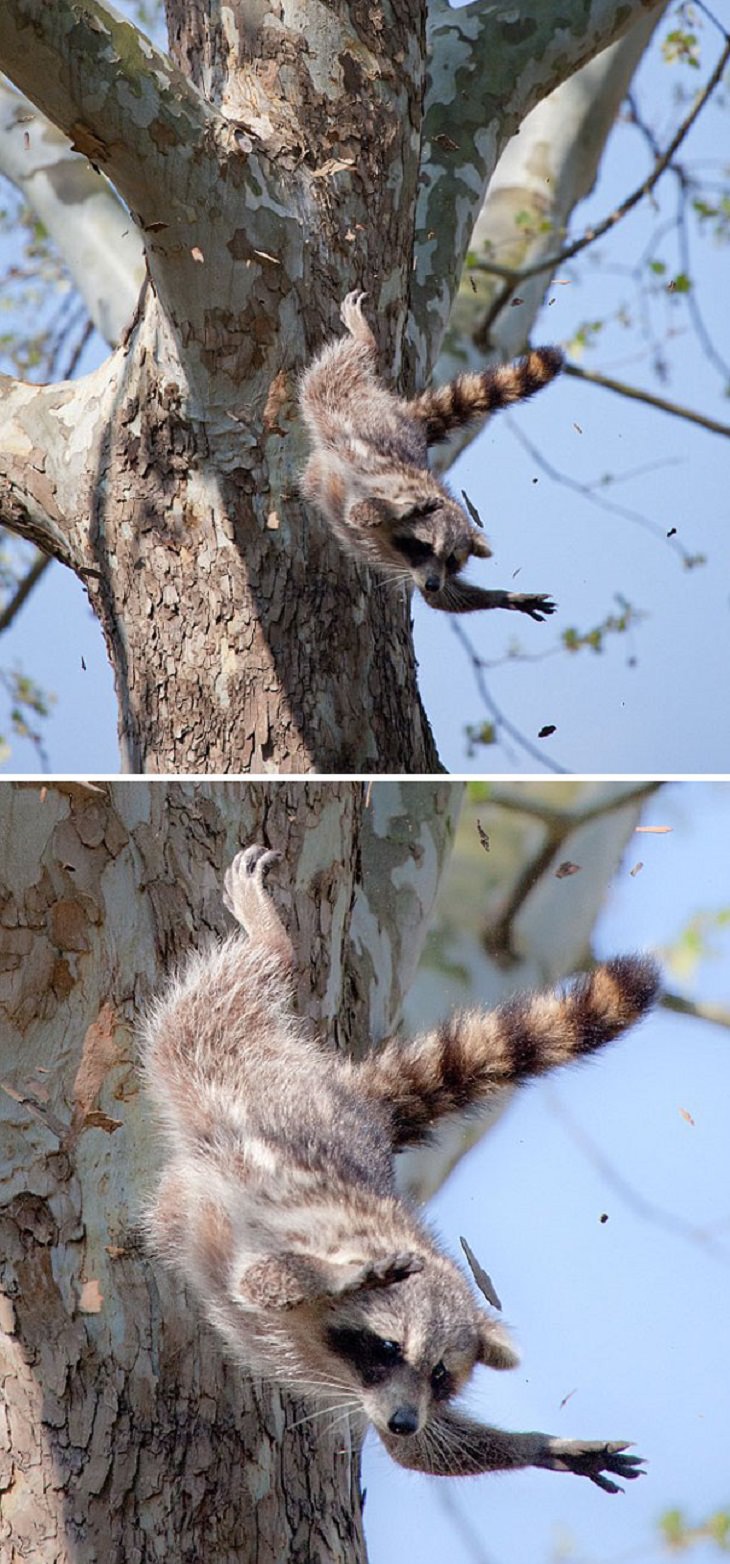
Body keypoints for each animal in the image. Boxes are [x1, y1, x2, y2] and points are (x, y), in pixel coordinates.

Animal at [139, 844, 659, 1488]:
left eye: (440, 1373)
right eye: (388, 1349)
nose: (407, 1419)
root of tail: (349, 1096)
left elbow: (426, 1451)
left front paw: (543, 1446)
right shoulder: (293, 1240)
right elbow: (256, 1279)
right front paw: (335, 1276)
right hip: (228, 1061)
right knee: (208, 1010)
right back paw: (271, 946)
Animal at [300, 294, 562, 616]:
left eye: (451, 559)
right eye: (424, 546)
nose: (433, 582)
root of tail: (402, 416)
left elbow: (445, 598)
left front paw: (504, 597)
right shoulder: (372, 489)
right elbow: (359, 511)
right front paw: (399, 510)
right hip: (342, 401)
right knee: (331, 374)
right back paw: (365, 341)